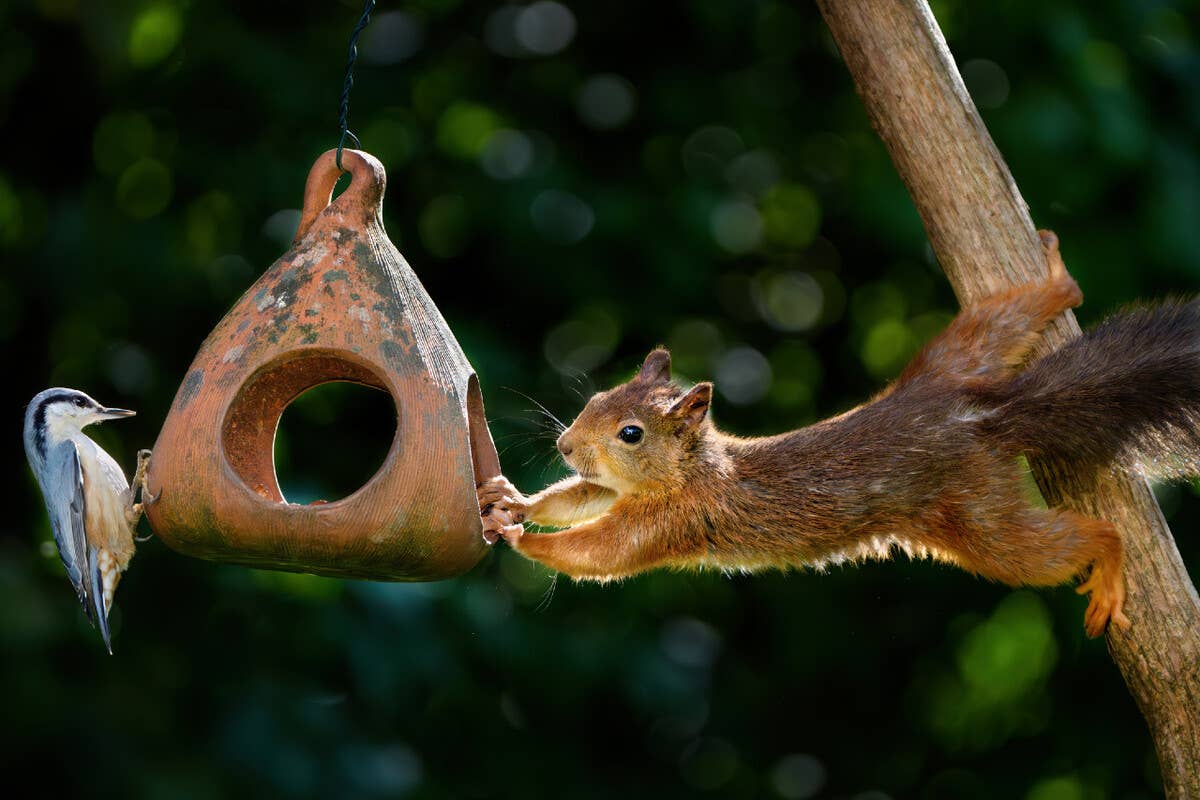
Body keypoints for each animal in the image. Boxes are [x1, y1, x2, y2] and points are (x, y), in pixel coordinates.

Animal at [479, 231, 1200, 637]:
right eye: (595, 398)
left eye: (630, 432)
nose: (566, 445)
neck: (693, 470)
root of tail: (977, 417)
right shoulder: (620, 493)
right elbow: (580, 497)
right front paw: (512, 501)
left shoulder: (673, 520)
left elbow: (599, 552)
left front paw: (523, 542)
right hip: (957, 357)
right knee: (1004, 319)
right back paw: (1056, 280)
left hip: (979, 523)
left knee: (1066, 544)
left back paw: (1109, 563)